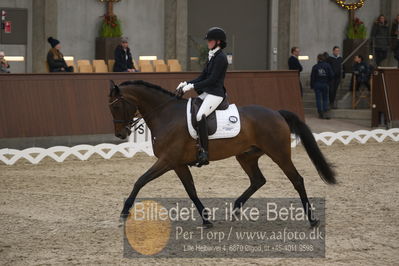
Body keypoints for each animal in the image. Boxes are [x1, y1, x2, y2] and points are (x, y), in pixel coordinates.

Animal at [108, 80, 336, 228]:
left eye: (117, 106)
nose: (120, 134)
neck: (166, 114)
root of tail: (277, 113)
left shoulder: (167, 160)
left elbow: (140, 180)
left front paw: (124, 212)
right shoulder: (177, 164)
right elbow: (191, 190)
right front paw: (206, 219)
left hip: (279, 153)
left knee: (296, 180)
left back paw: (312, 219)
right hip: (246, 156)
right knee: (258, 180)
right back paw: (235, 209)